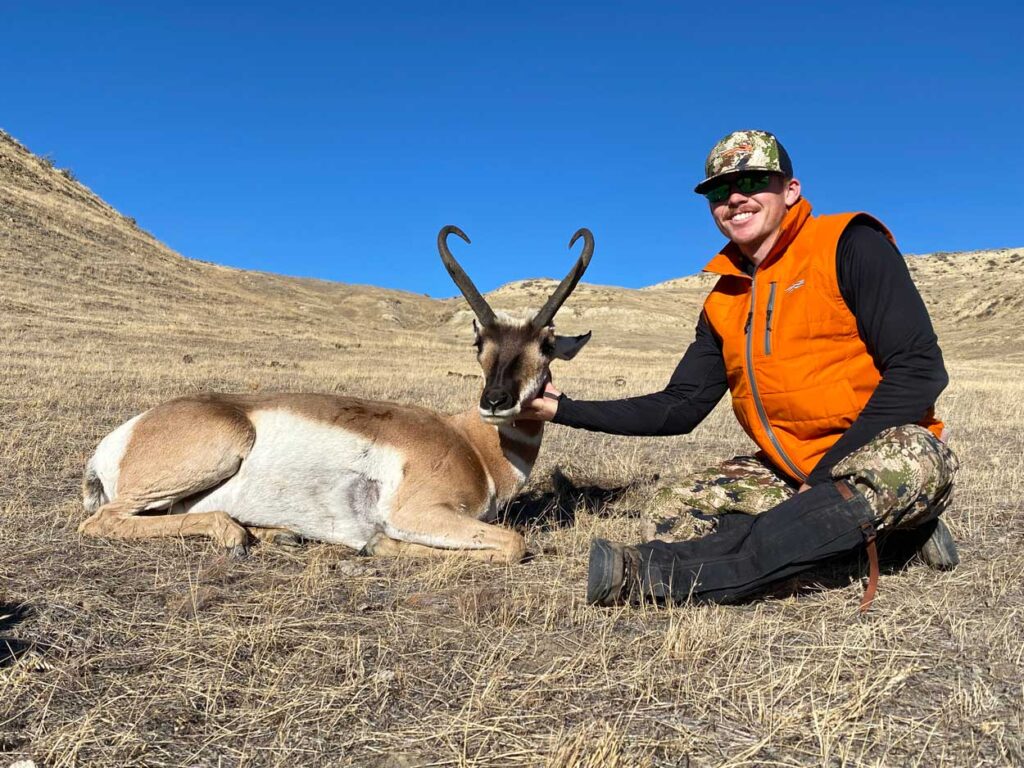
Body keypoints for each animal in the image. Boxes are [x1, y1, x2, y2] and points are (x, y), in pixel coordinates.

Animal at [79, 225, 598, 561]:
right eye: (479, 344)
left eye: (546, 345)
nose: (495, 401)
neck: (471, 443)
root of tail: (123, 435)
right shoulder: (419, 512)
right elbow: (513, 544)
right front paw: (379, 543)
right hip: (218, 453)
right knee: (102, 521)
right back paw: (234, 533)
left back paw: (277, 535)